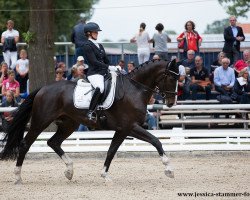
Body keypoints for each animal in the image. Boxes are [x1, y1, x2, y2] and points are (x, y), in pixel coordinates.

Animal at [0, 58, 180, 184]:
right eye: (172, 78)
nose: (172, 102)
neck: (134, 89)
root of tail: (43, 89)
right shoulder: (131, 126)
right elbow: (156, 141)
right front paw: (169, 169)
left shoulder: (123, 130)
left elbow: (111, 151)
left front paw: (105, 175)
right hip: (41, 122)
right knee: (25, 144)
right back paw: (17, 177)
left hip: (69, 124)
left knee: (53, 142)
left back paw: (69, 171)